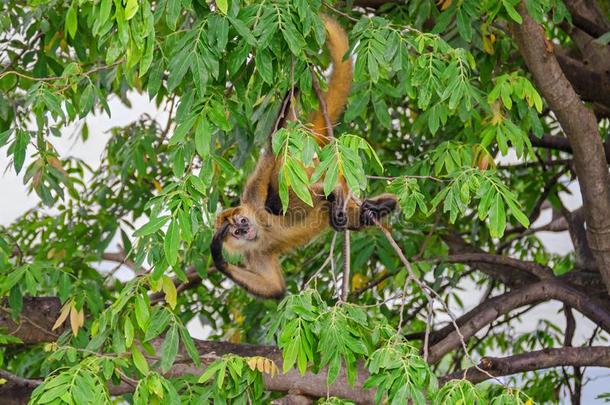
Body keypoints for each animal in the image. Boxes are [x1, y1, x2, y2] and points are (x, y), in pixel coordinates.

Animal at [211, 14, 396, 298]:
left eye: (241, 221)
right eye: (235, 231)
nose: (243, 228)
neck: (260, 232)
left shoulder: (253, 196)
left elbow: (270, 150)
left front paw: (294, 85)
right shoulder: (253, 254)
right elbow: (275, 289)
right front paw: (217, 254)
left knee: (286, 196)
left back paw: (340, 195)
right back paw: (382, 206)